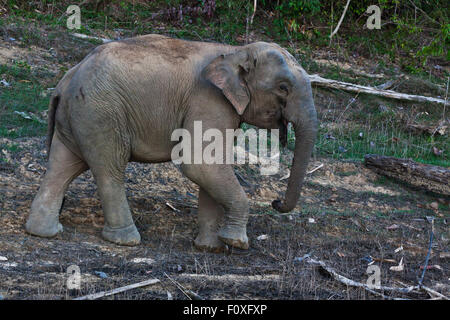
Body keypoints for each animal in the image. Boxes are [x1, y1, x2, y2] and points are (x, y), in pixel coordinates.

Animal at [26, 33, 318, 252]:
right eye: (283, 88)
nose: (276, 202)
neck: (235, 51)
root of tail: (66, 80)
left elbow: (211, 165)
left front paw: (210, 248)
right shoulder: (208, 100)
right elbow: (199, 164)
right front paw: (235, 242)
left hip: (78, 116)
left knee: (62, 165)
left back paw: (44, 232)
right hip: (100, 113)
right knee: (109, 169)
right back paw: (126, 241)